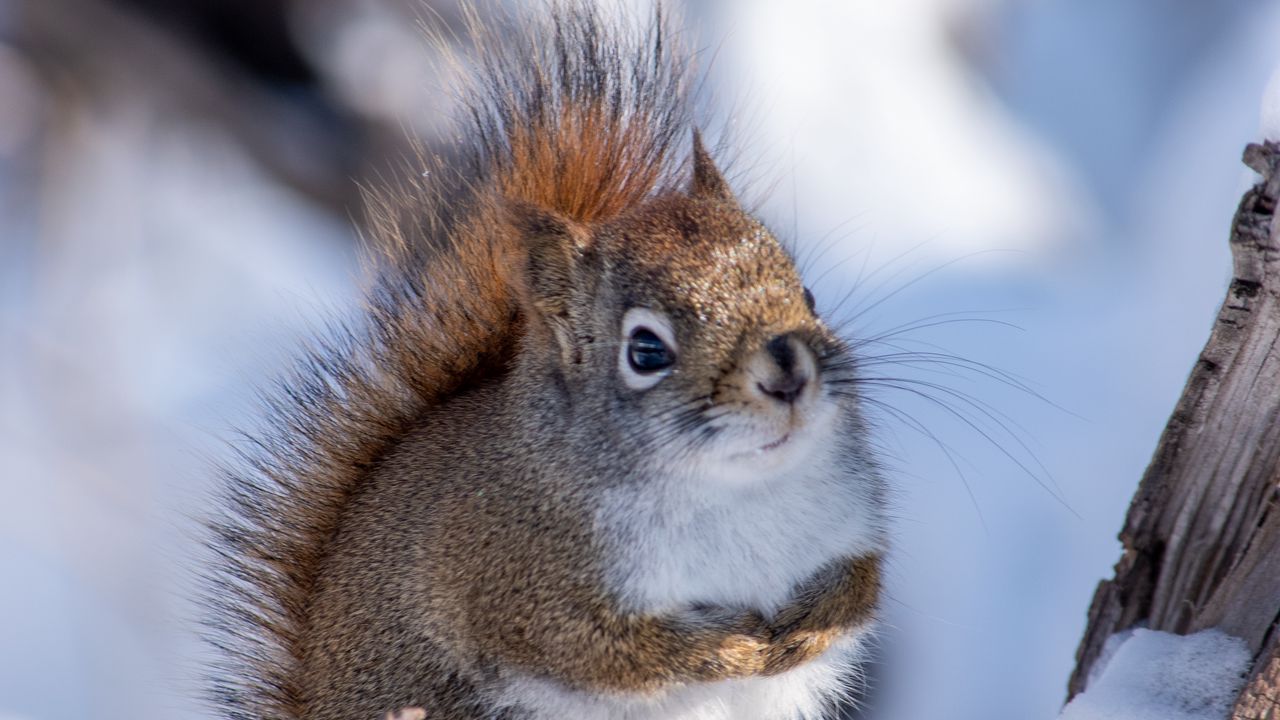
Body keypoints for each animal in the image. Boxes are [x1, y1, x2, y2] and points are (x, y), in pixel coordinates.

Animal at [207, 5, 890, 717]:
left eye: (807, 294)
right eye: (646, 350)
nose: (787, 370)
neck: (742, 487)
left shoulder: (856, 520)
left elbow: (861, 582)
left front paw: (810, 627)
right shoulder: (522, 590)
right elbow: (614, 655)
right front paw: (733, 650)